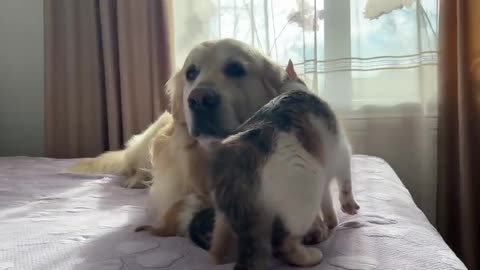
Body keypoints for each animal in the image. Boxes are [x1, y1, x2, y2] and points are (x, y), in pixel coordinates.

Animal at [208, 61, 358, 270]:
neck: (290, 89)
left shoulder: (326, 170)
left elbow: (327, 201)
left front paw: (331, 221)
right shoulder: (342, 152)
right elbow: (345, 185)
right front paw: (348, 207)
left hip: (225, 219)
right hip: (305, 191)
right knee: (282, 245)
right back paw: (311, 256)